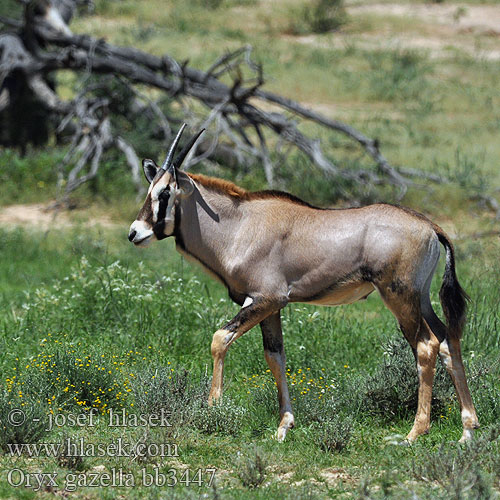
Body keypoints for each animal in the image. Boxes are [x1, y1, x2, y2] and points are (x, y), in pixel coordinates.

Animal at [130, 124, 480, 442]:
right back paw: (468, 428)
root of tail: (430, 226)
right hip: (420, 298)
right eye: (150, 191)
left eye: (165, 193)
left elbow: (220, 339)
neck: (237, 226)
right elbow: (275, 356)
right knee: (447, 339)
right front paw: (284, 425)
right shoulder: (267, 307)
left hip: (399, 298)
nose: (135, 233)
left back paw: (415, 432)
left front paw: (213, 408)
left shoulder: (267, 299)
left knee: (426, 346)